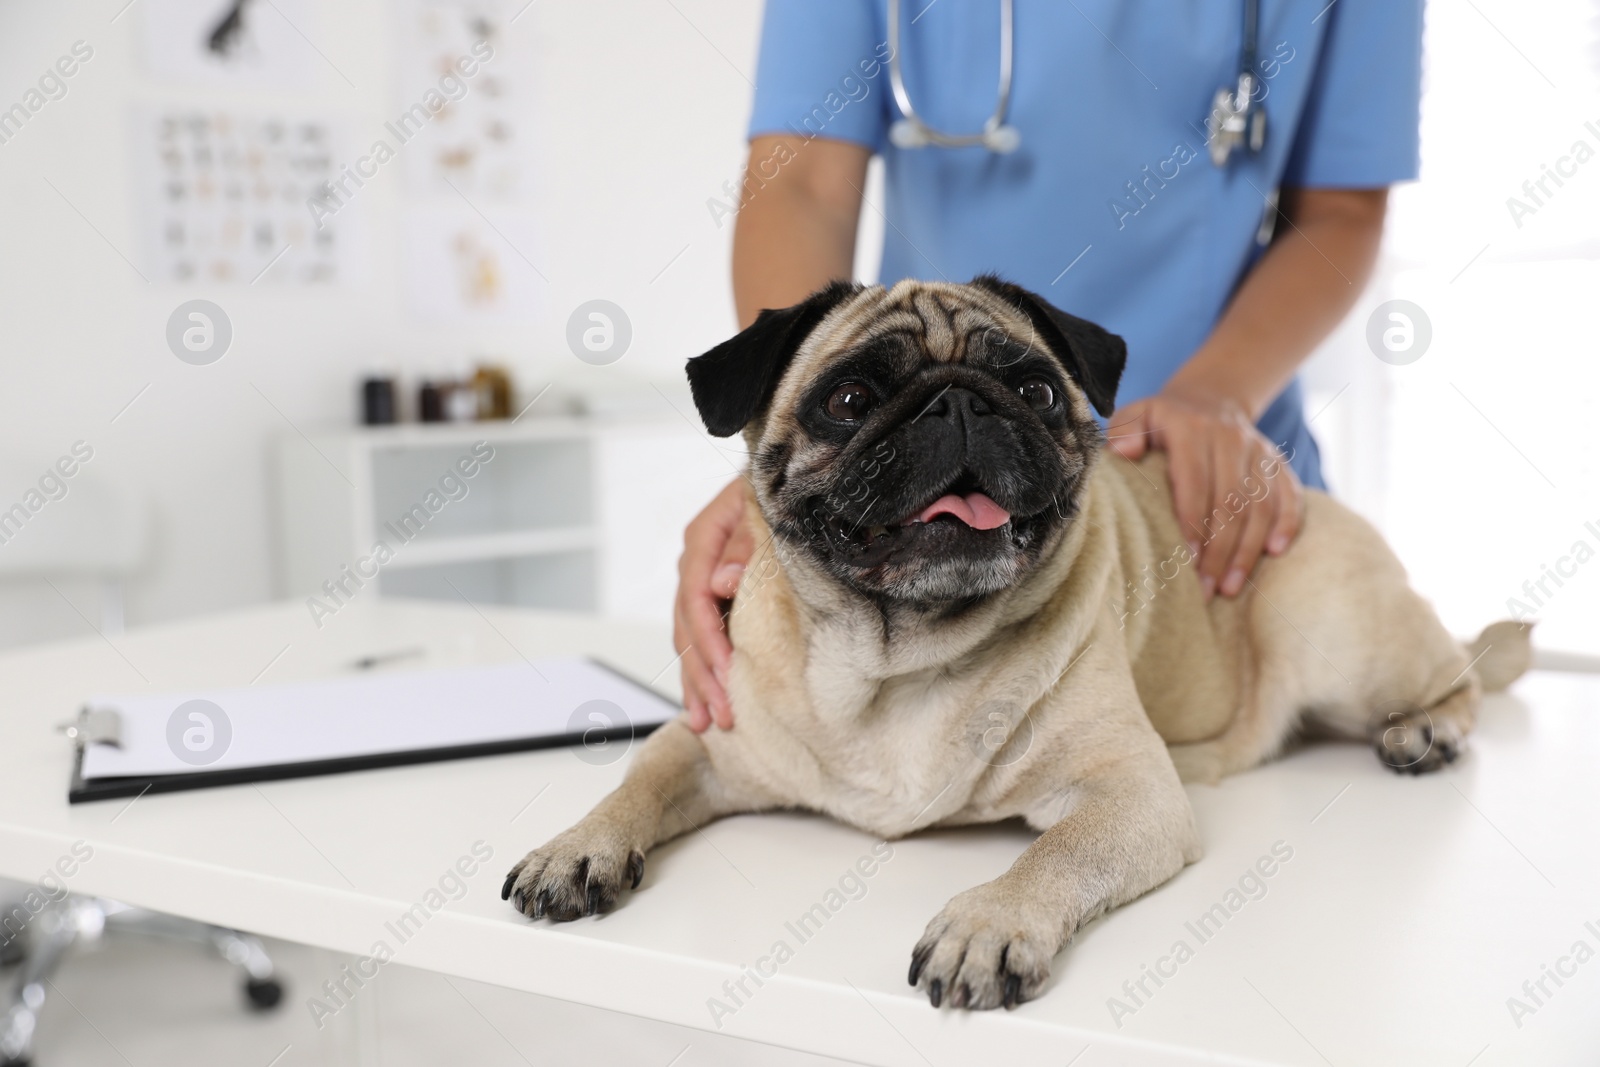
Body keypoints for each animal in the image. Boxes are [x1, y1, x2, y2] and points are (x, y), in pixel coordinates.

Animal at [505, 275, 1529, 1011]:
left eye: (1034, 386)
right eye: (849, 398)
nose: (960, 403)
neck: (900, 660)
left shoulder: (1129, 790)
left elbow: (1054, 856)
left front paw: (989, 924)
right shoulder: (710, 741)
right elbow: (637, 778)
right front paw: (576, 847)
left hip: (1336, 632)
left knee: (1467, 675)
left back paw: (1425, 732)